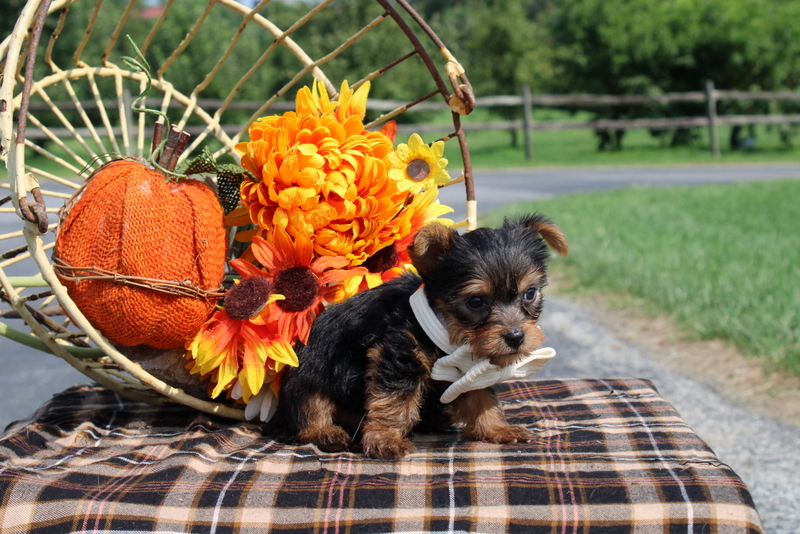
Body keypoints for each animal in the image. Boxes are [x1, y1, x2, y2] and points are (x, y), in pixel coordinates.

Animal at [278, 215, 564, 460]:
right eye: (475, 301)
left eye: (529, 294)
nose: (516, 337)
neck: (449, 332)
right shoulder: (398, 355)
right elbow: (394, 402)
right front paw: (386, 440)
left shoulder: (471, 370)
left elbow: (481, 396)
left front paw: (497, 428)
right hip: (310, 372)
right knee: (310, 406)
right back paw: (325, 431)